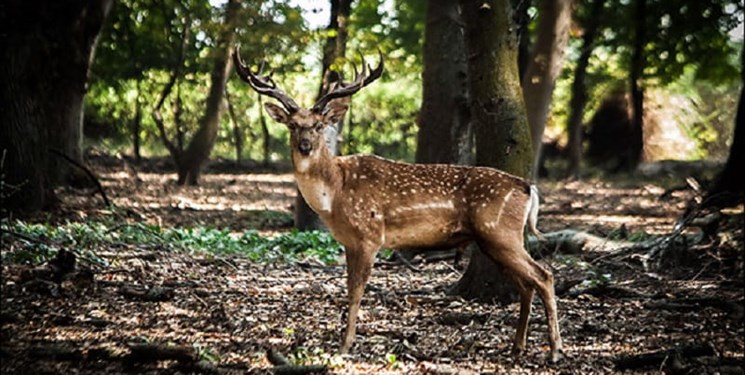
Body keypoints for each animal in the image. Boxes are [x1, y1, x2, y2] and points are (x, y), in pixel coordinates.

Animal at [232, 48, 564, 362]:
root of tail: (527, 187)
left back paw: (555, 350)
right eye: (292, 125)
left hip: (499, 232)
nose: (305, 146)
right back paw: (518, 347)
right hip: (494, 239)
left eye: (318, 125)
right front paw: (343, 341)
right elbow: (348, 287)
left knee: (544, 275)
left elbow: (356, 291)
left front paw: (345, 346)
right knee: (526, 283)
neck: (335, 192)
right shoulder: (349, 242)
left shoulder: (370, 235)